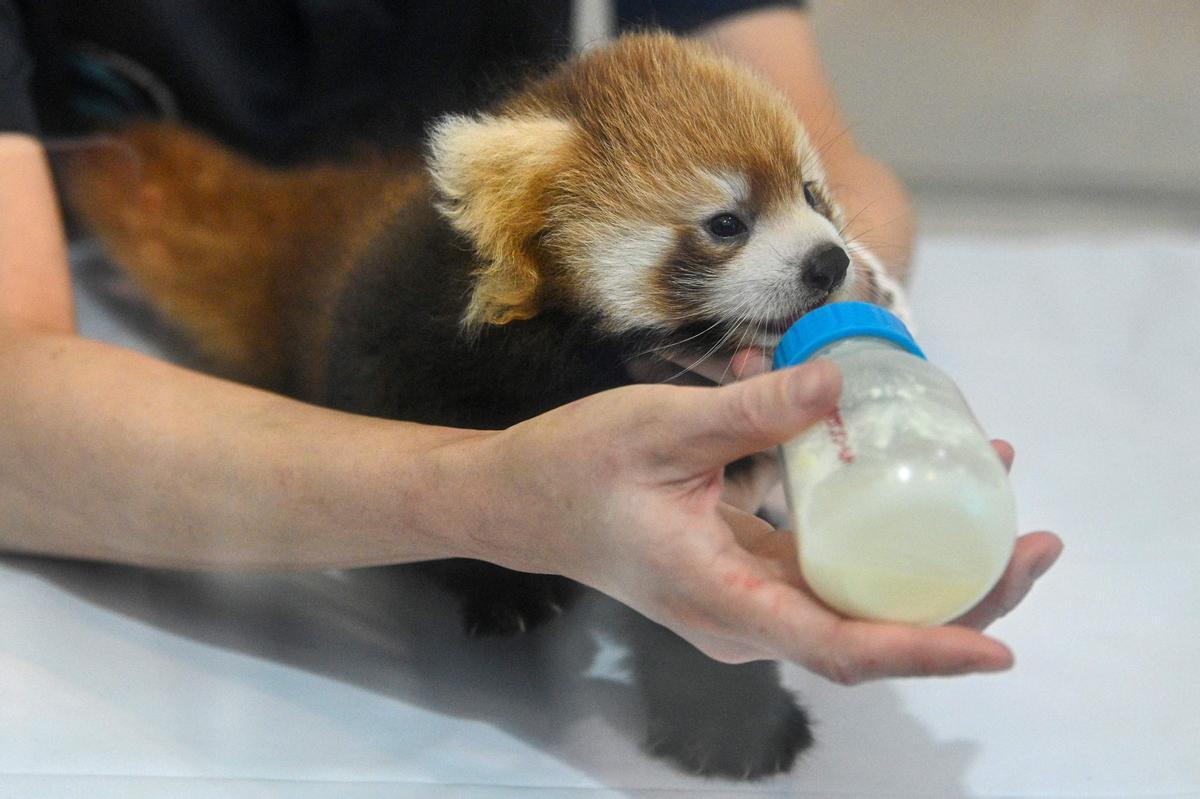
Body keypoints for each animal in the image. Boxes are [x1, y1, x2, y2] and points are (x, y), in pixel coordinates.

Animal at [70, 31, 902, 777]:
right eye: (726, 223)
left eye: (811, 193)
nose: (828, 261)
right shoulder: (413, 339)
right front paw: (508, 583)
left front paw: (732, 717)